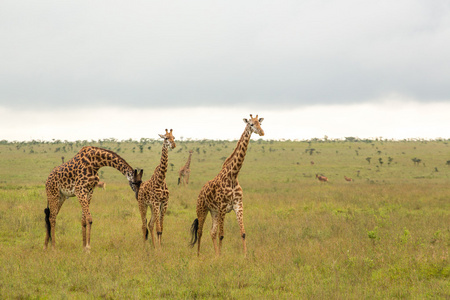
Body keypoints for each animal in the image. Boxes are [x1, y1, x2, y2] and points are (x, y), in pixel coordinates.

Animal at [189, 113, 264, 256]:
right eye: (251, 124)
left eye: (260, 123)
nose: (262, 132)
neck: (233, 176)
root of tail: (200, 192)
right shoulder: (223, 207)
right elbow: (222, 235)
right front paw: (222, 256)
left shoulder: (238, 205)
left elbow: (243, 233)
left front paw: (245, 256)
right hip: (202, 209)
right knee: (200, 232)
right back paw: (198, 255)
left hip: (214, 212)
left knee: (211, 232)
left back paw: (215, 255)